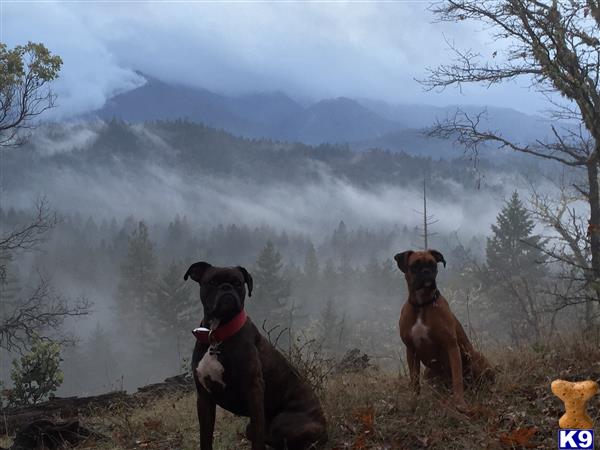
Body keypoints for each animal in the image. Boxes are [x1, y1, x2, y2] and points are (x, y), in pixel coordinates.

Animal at [185, 260, 330, 450]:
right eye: (212, 282)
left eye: (238, 282)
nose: (226, 287)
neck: (217, 334)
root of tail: (324, 427)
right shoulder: (204, 397)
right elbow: (205, 438)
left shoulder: (253, 389)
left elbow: (258, 435)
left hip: (282, 420)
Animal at [394, 251, 492, 410]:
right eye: (415, 266)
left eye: (433, 265)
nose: (426, 271)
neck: (422, 305)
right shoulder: (411, 350)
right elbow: (414, 379)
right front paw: (414, 401)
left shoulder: (451, 346)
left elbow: (457, 378)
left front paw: (459, 403)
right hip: (428, 373)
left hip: (473, 357)